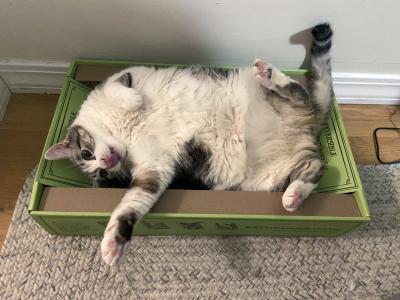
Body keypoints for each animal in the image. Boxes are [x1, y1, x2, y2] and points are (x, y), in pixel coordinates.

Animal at [43, 23, 332, 264]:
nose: (106, 162)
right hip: (268, 176)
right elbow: (131, 204)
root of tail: (309, 124)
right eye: (102, 174)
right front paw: (113, 244)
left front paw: (134, 101)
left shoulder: (124, 75)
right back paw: (294, 196)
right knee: (315, 167)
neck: (123, 134)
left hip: (269, 96)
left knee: (298, 92)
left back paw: (268, 72)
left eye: (86, 153)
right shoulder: (155, 168)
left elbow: (118, 88)